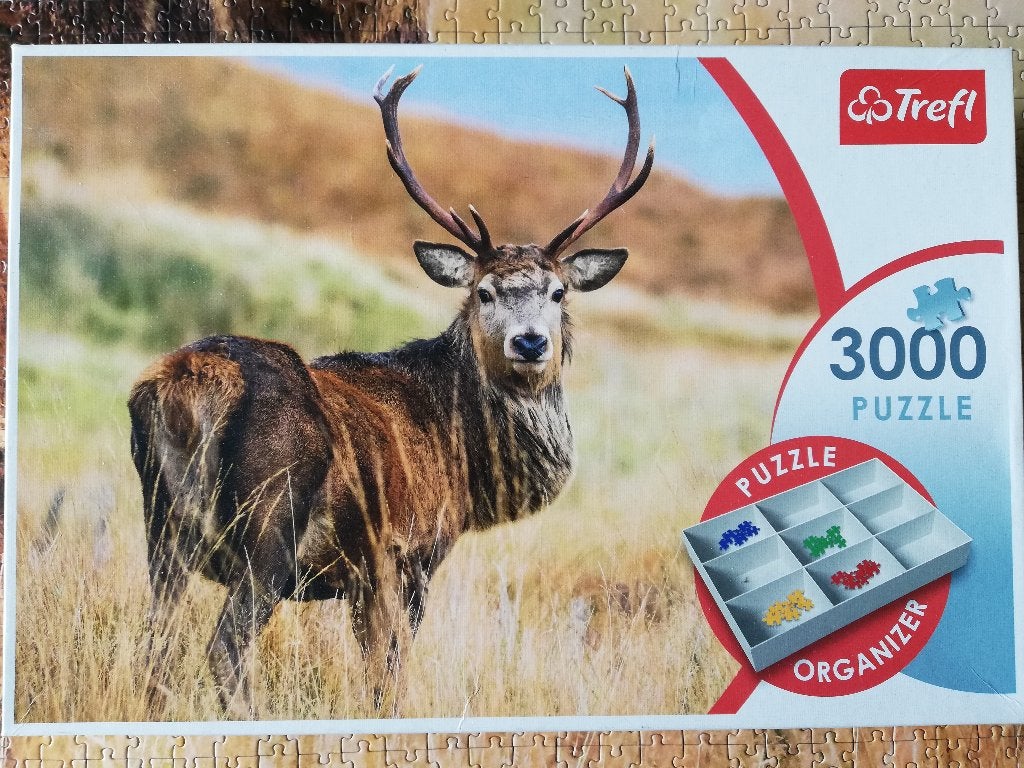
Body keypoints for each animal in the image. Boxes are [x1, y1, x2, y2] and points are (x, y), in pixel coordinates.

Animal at [128, 65, 654, 720]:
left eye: (558, 292)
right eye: (483, 292)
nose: (530, 343)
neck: (465, 469)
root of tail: (191, 383)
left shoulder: (362, 576)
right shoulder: (406, 555)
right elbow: (388, 677)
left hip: (161, 525)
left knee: (154, 645)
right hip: (268, 529)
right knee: (223, 648)